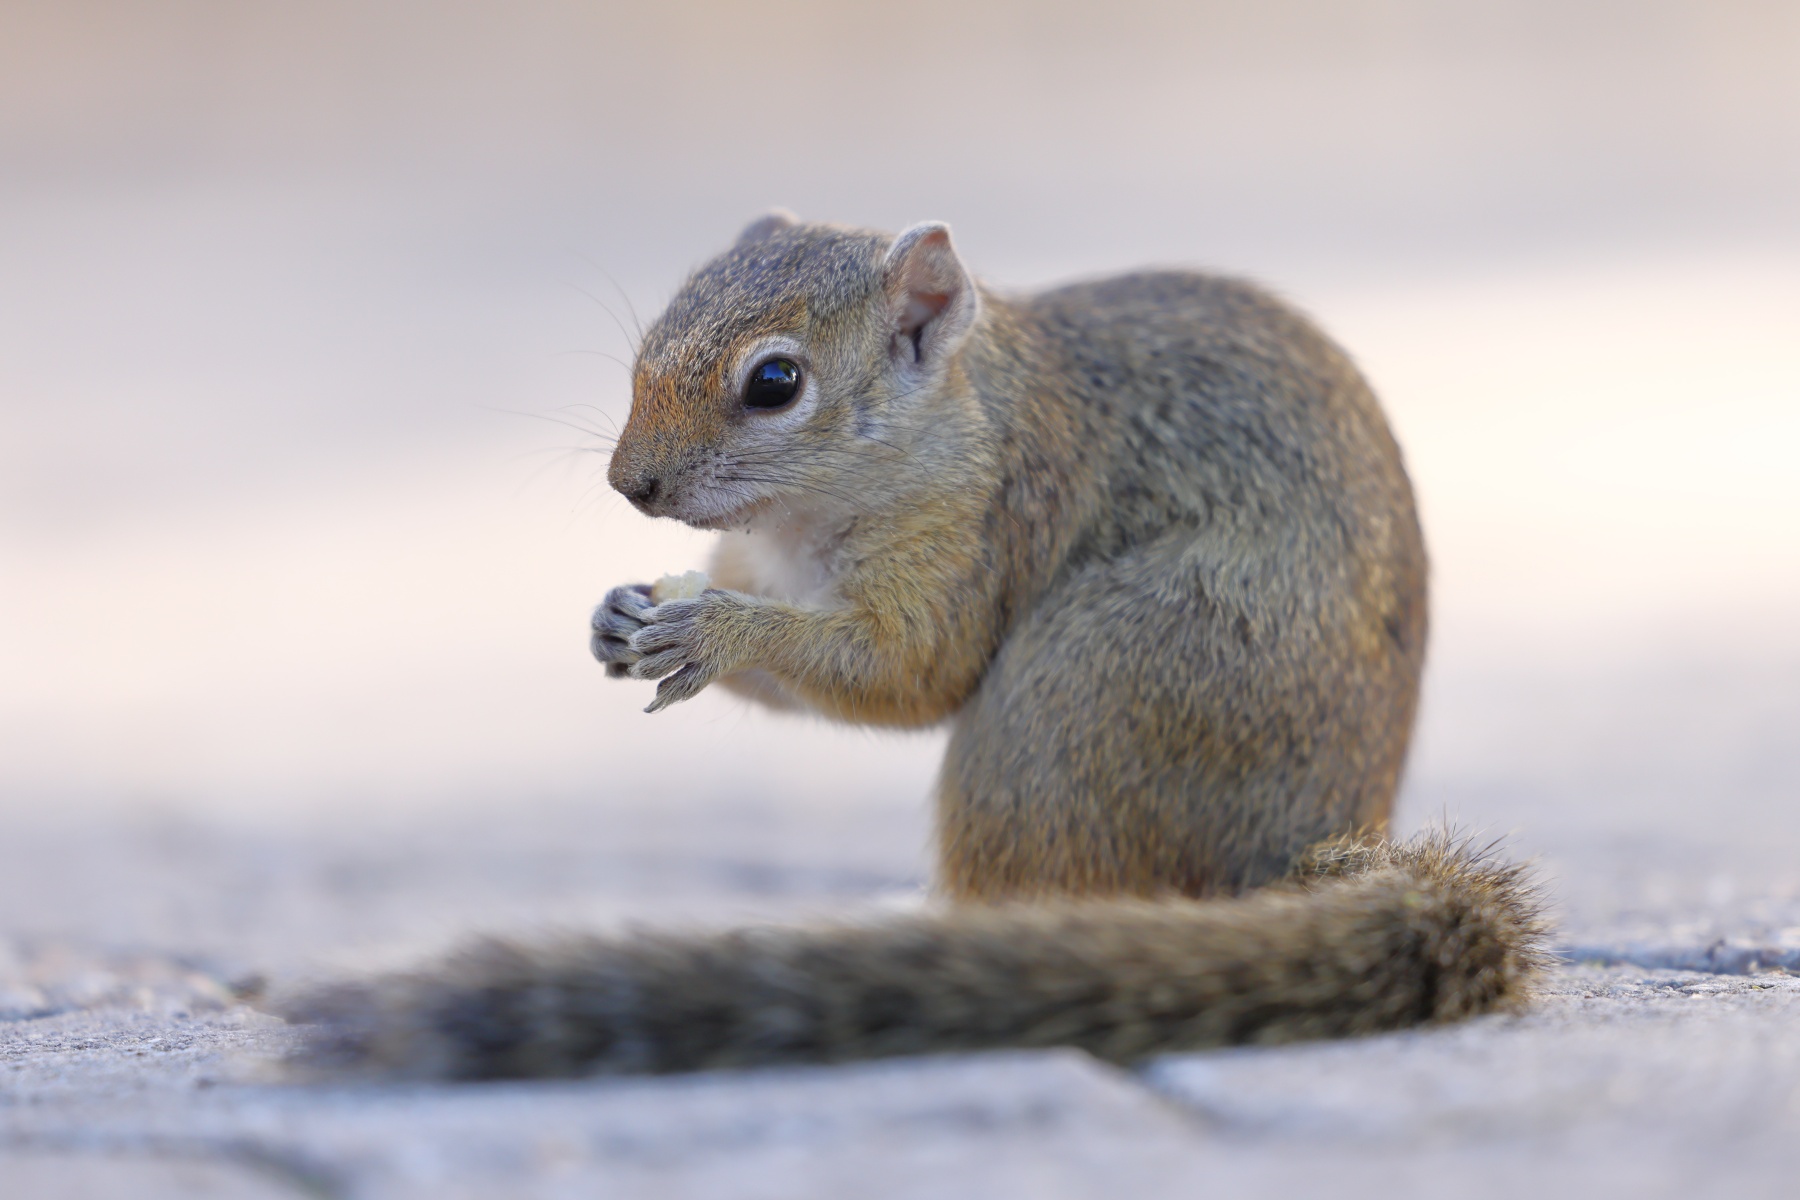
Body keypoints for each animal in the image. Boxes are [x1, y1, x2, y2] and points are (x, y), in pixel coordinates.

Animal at [287, 213, 1546, 1079]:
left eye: (775, 382)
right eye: (650, 340)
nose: (628, 485)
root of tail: (1304, 850)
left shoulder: (978, 534)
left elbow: (908, 677)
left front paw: (721, 624)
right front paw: (620, 613)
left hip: (1080, 701)